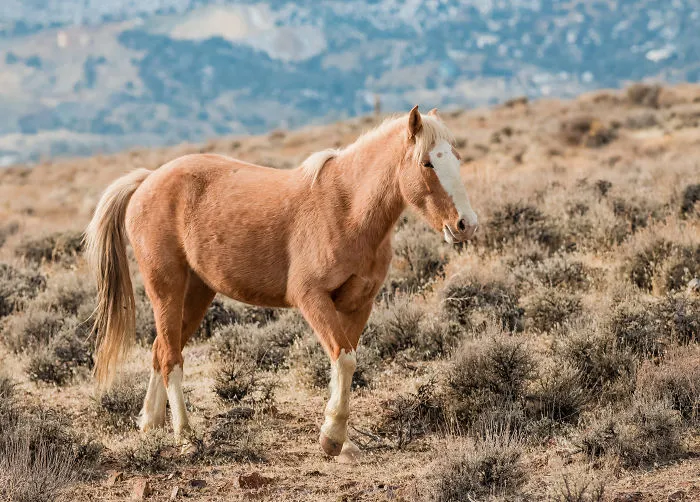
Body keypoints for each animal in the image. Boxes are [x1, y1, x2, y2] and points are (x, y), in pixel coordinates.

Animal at [85, 106, 478, 461]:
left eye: (457, 159)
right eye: (427, 163)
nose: (466, 224)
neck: (346, 209)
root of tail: (147, 180)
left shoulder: (357, 304)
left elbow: (346, 360)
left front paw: (344, 442)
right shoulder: (311, 298)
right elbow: (344, 359)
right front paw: (331, 439)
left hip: (197, 293)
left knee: (160, 349)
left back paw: (150, 425)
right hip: (166, 288)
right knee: (170, 358)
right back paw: (186, 438)